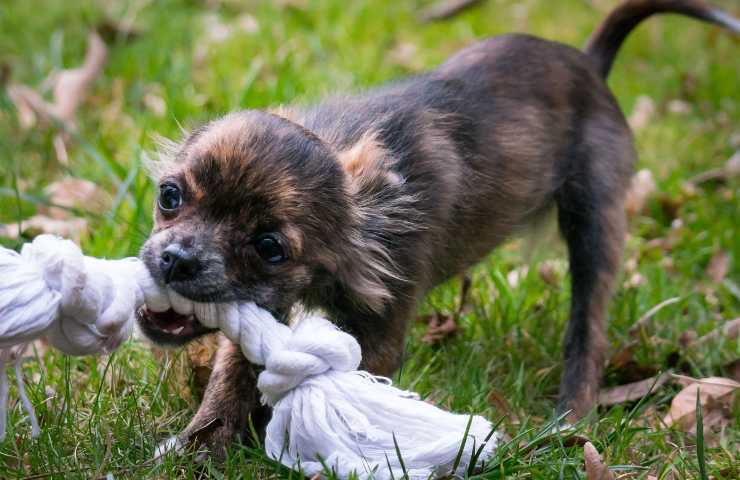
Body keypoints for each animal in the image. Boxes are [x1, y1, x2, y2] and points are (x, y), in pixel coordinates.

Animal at [136, 0, 736, 458]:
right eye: (170, 196)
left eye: (269, 247)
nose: (177, 259)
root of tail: (589, 64)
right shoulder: (265, 310)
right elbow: (230, 377)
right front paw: (198, 449)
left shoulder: (379, 332)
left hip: (596, 221)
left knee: (587, 328)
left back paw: (570, 416)